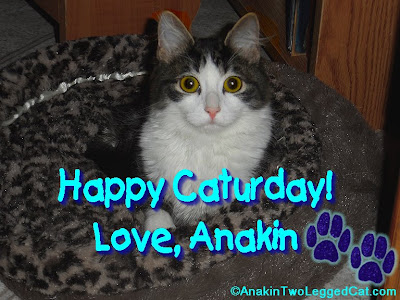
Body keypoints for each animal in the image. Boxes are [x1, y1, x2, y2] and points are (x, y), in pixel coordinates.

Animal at [88, 11, 274, 231]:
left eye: (233, 84)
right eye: (189, 84)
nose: (212, 109)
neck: (204, 144)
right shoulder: (145, 159)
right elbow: (153, 199)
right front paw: (160, 229)